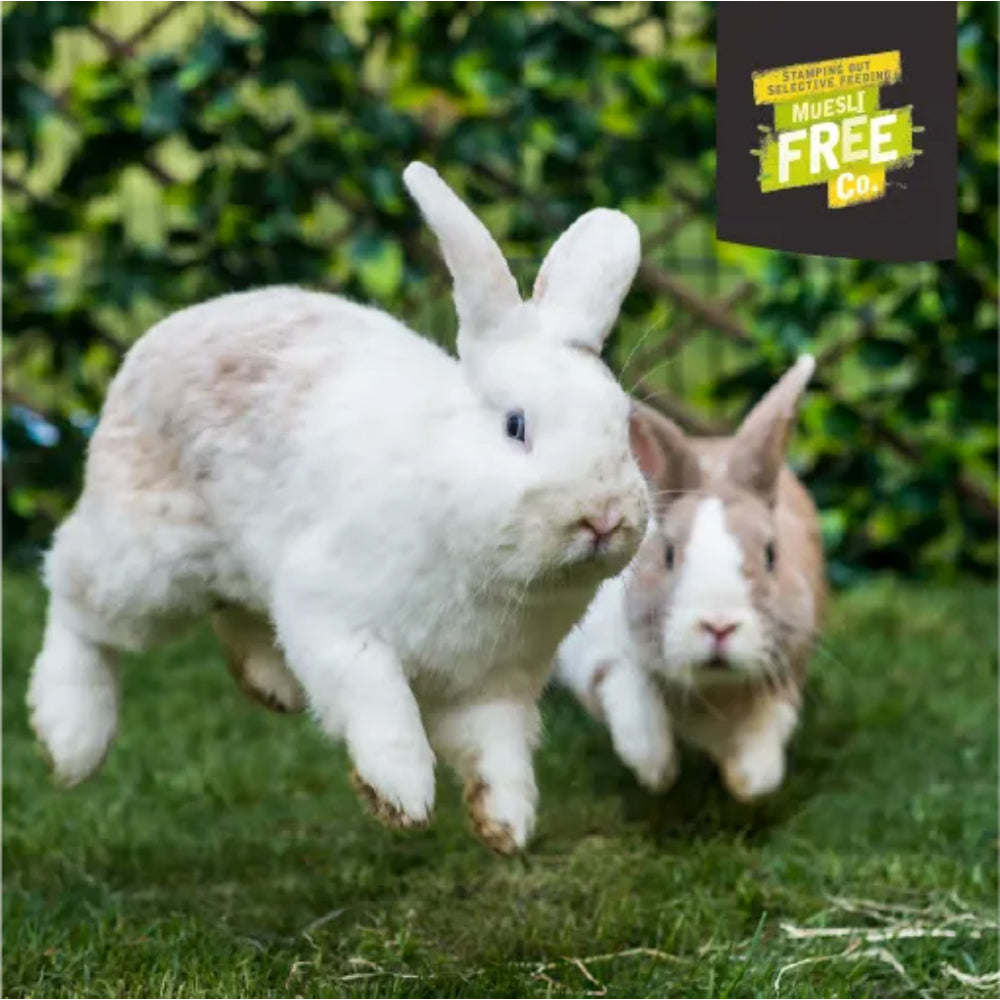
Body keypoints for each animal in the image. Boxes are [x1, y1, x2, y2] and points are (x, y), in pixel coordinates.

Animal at [27, 162, 654, 854]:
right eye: (516, 426)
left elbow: (497, 753)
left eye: (622, 424)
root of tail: (155, 342)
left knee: (230, 610)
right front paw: (401, 796)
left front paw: (507, 827)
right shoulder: (332, 618)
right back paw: (71, 737)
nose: (603, 516)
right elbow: (379, 702)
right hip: (145, 565)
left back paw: (269, 683)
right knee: (75, 598)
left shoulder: (494, 686)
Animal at [556, 356, 825, 801]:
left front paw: (747, 781)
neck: (711, 689)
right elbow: (633, 701)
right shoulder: (601, 655)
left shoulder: (786, 673)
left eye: (771, 555)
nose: (718, 626)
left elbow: (764, 741)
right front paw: (657, 771)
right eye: (667, 555)